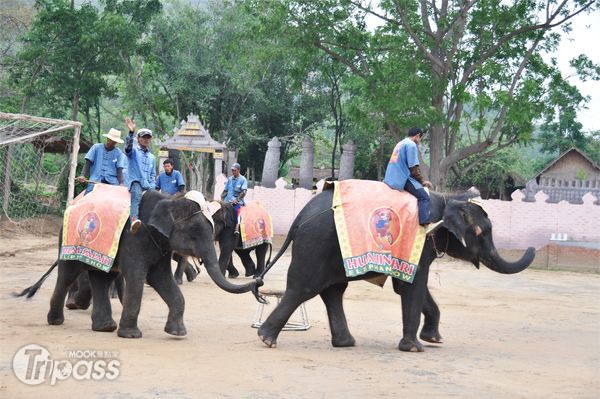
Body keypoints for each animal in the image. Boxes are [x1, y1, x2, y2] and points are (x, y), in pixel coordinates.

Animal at [17, 191, 262, 338]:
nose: (259, 283)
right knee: (69, 274)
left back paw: (105, 327)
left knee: (101, 277)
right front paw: (131, 335)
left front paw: (177, 333)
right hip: (70, 240)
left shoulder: (160, 245)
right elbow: (137, 276)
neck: (168, 200)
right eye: (194, 231)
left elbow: (161, 279)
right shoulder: (134, 238)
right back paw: (57, 321)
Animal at [256, 188, 536, 354]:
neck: (448, 198)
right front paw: (415, 348)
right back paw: (266, 339)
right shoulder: (420, 239)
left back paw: (346, 343)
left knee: (333, 290)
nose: (533, 246)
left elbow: (406, 286)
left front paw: (434, 340)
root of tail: (299, 216)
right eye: (483, 232)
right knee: (304, 288)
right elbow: (414, 284)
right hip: (316, 243)